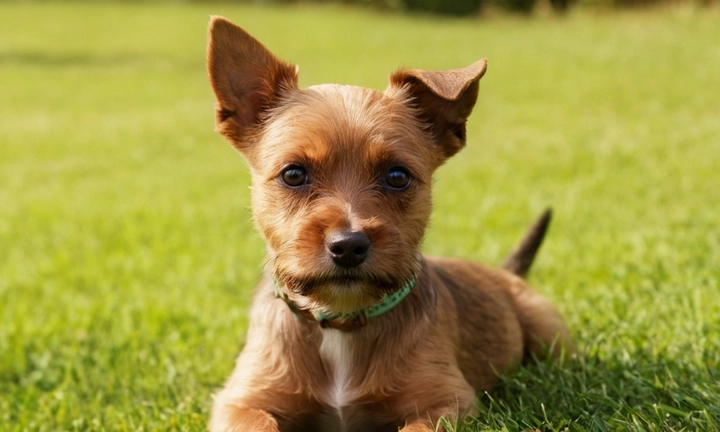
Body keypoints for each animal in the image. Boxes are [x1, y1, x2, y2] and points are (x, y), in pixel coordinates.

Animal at [205, 16, 572, 432]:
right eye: (293, 174)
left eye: (397, 176)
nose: (349, 245)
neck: (342, 323)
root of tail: (504, 272)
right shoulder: (242, 400)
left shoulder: (446, 401)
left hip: (547, 329)